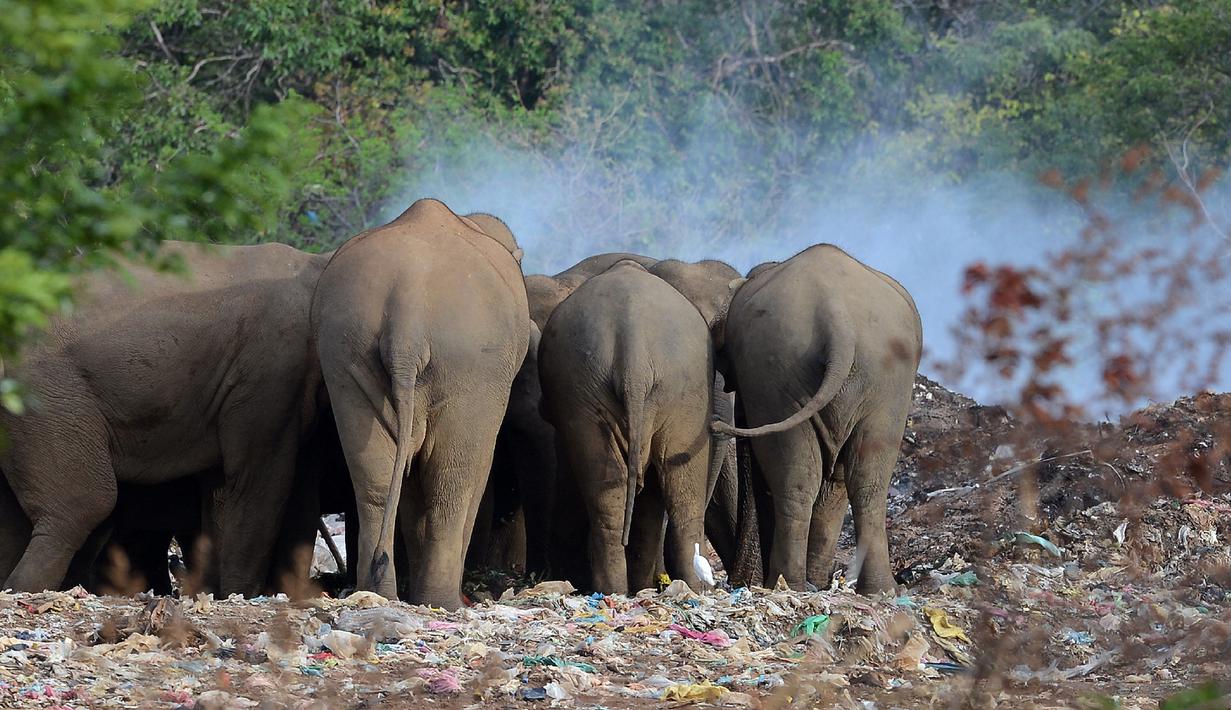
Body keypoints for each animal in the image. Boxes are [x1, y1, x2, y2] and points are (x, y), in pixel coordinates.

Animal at [0, 241, 329, 595]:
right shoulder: (271, 370)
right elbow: (255, 481)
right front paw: (235, 594)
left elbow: (222, 491)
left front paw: (211, 593)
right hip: (47, 397)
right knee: (87, 504)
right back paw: (22, 589)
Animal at [310, 196, 526, 605]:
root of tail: (406, 310)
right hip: (469, 362)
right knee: (453, 479)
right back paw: (443, 600)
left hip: (345, 351)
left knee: (374, 475)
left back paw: (378, 591)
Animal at [713, 243, 925, 593]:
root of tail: (837, 318)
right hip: (879, 382)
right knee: (865, 481)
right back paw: (875, 590)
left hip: (784, 374)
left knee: (799, 476)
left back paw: (787, 584)